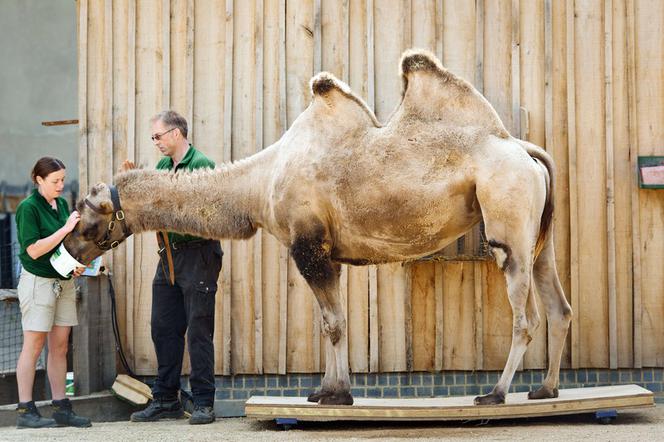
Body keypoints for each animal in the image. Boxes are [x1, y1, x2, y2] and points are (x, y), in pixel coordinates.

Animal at [62, 49, 572, 408]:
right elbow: (333, 321)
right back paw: (544, 391)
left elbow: (333, 323)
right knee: (559, 306)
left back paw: (496, 394)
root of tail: (525, 150)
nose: (68, 250)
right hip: (538, 237)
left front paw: (336, 395)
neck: (258, 185)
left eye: (88, 220)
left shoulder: (308, 245)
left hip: (507, 222)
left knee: (526, 314)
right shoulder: (328, 252)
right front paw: (325, 391)